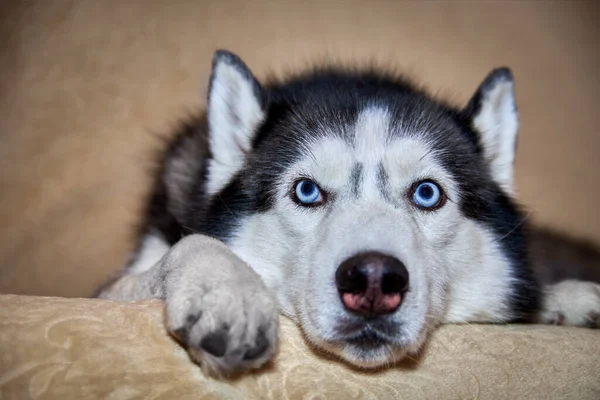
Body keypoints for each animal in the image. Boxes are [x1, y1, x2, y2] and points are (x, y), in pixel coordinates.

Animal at [98, 49, 600, 376]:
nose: (374, 280)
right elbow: (188, 245)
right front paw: (227, 289)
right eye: (306, 191)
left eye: (427, 194)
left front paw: (564, 299)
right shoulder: (114, 284)